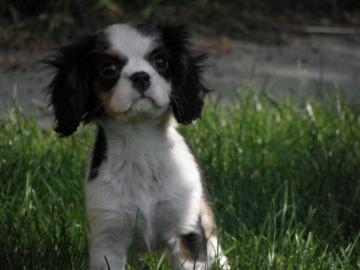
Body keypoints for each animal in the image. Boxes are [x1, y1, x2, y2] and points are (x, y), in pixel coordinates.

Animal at [45, 22, 231, 268]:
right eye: (108, 68)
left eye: (160, 61)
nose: (141, 76)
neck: (139, 142)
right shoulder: (108, 238)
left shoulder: (187, 232)